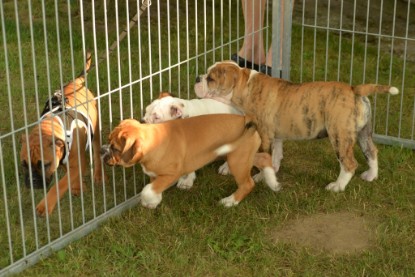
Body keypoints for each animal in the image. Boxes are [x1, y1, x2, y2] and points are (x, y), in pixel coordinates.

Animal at [101, 113, 282, 207]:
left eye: (114, 148)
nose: (102, 151)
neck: (153, 140)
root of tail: (246, 118)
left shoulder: (171, 174)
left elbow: (148, 190)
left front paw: (148, 201)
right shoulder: (155, 174)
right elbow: (153, 188)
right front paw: (154, 201)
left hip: (237, 161)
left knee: (247, 184)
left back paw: (230, 201)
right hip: (241, 155)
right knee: (264, 158)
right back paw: (273, 183)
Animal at [197, 61, 402, 192]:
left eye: (211, 78)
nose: (198, 77)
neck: (244, 84)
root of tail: (354, 89)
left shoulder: (264, 134)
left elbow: (264, 156)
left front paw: (261, 177)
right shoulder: (276, 135)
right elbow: (276, 155)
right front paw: (273, 171)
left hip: (340, 135)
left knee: (349, 163)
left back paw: (337, 187)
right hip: (362, 132)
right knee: (371, 151)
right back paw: (371, 176)